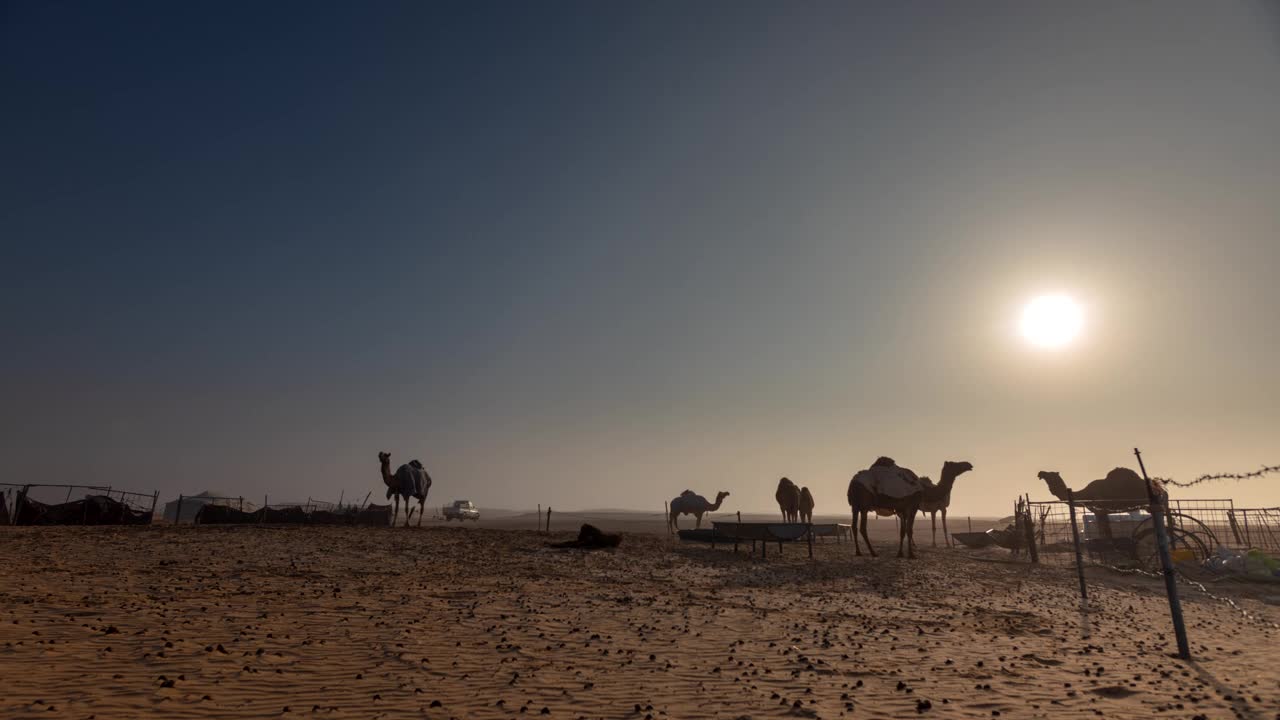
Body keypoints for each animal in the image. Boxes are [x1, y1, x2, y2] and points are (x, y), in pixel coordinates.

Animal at [844, 456, 972, 558]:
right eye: (954, 464)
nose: (969, 464)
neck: (924, 489)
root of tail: (852, 483)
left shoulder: (902, 509)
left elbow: (903, 531)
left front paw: (900, 553)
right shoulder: (913, 506)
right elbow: (909, 530)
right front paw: (911, 554)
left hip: (855, 506)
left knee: (854, 526)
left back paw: (859, 552)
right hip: (864, 505)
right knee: (862, 528)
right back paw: (873, 552)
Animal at [1034, 468, 1167, 535]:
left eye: (1051, 474)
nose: (1040, 472)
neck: (1086, 494)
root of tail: (1160, 489)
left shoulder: (1100, 510)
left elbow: (1104, 533)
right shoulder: (1101, 511)